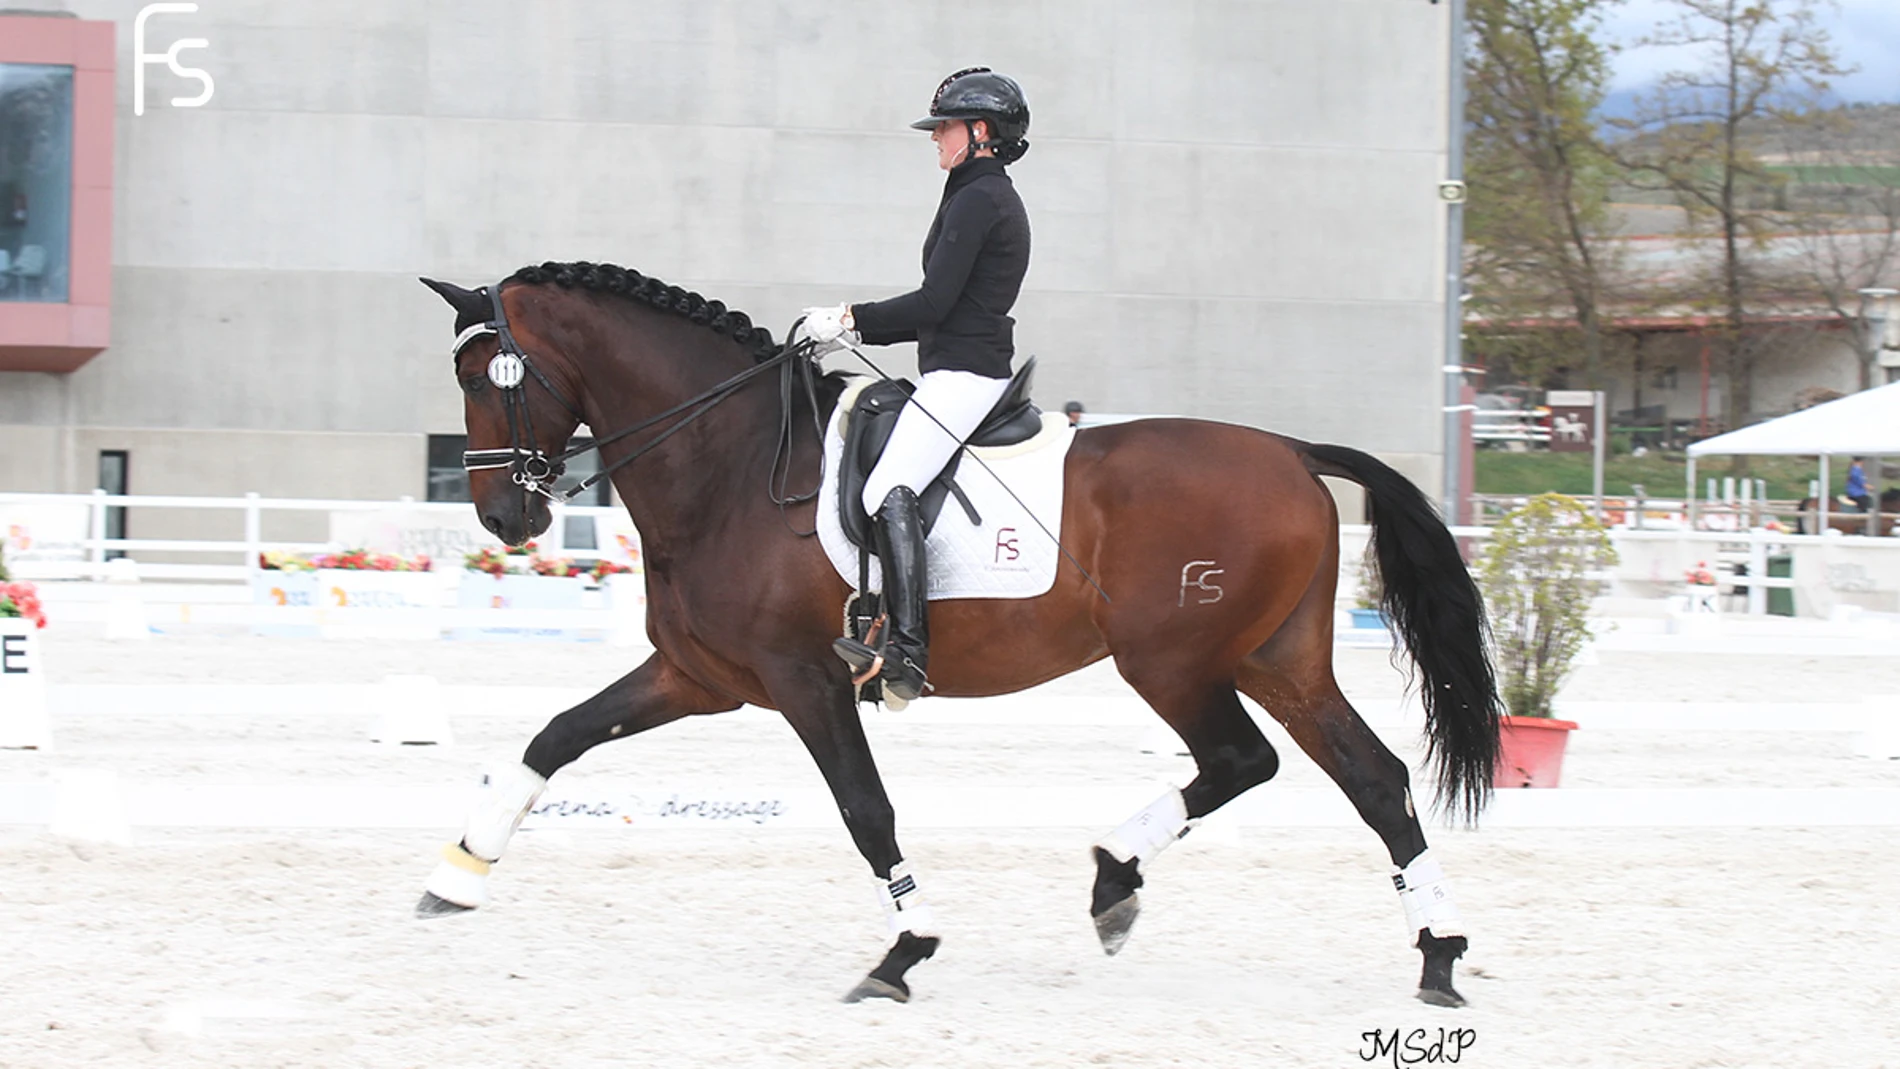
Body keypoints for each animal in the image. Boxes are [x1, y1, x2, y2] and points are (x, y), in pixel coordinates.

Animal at [416, 263, 1497, 1010]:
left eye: (485, 374)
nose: (503, 516)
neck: (726, 464)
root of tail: (1293, 452)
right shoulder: (698, 675)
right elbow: (553, 736)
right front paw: (456, 875)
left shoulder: (805, 680)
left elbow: (866, 811)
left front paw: (902, 952)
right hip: (1276, 660)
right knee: (1373, 779)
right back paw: (1437, 952)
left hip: (1174, 661)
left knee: (1241, 759)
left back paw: (1115, 877)